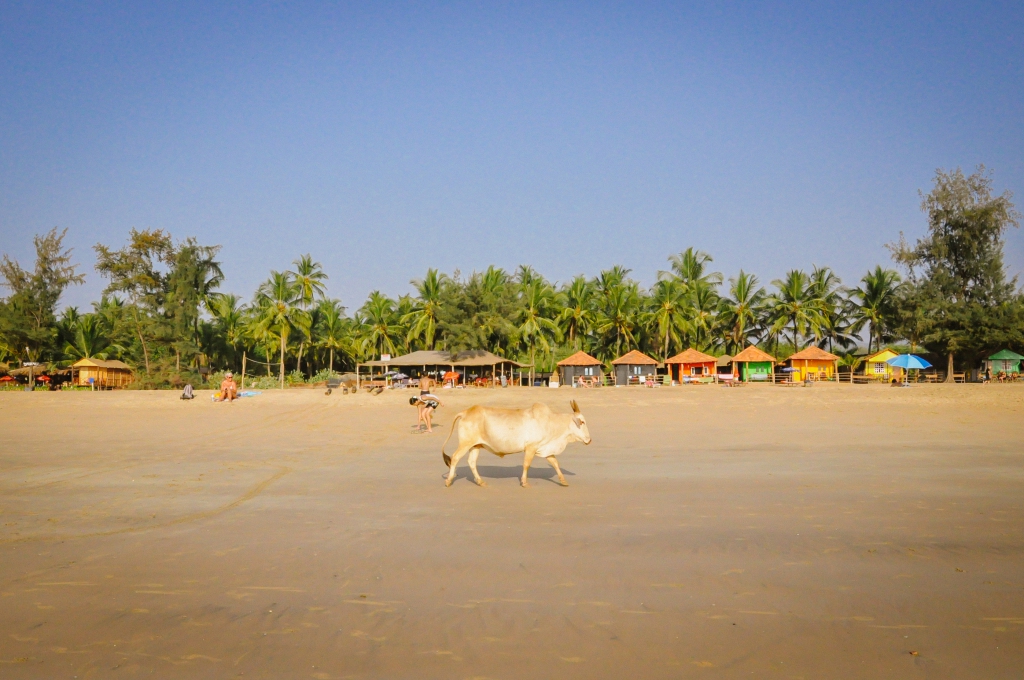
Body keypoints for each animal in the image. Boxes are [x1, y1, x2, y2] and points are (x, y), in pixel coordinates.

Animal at [440, 399, 593, 489]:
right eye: (582, 421)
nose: (589, 440)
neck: (551, 422)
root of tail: (466, 412)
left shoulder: (545, 448)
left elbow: (555, 463)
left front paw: (563, 481)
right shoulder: (531, 447)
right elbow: (526, 464)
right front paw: (524, 482)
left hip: (475, 445)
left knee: (471, 462)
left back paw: (480, 481)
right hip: (465, 443)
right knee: (455, 458)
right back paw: (449, 480)